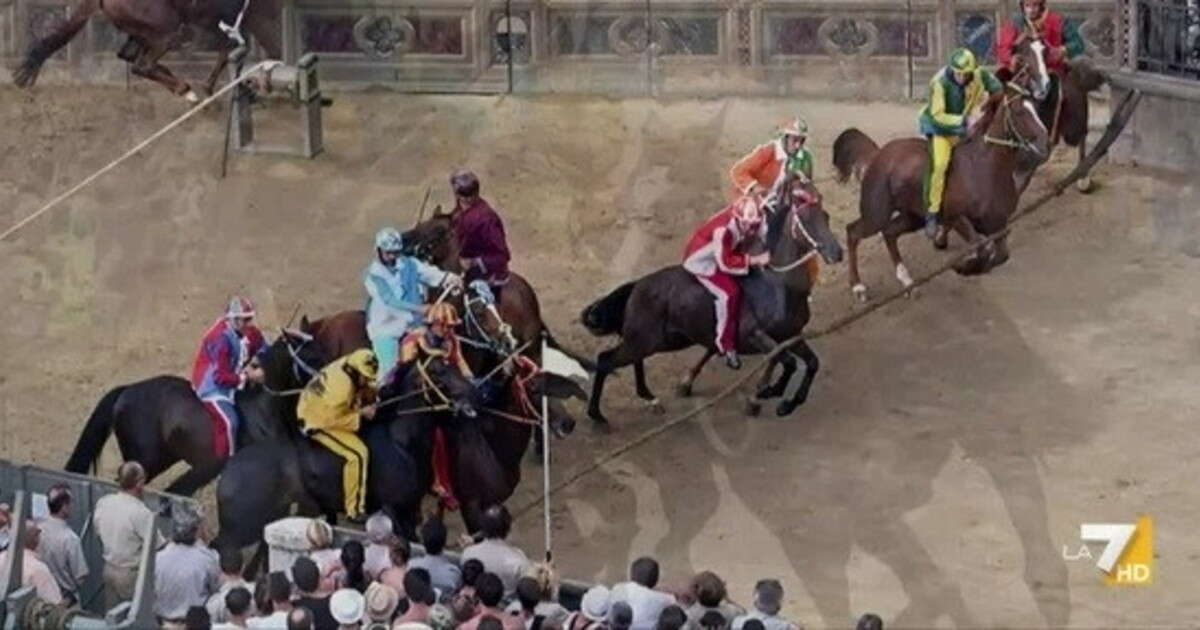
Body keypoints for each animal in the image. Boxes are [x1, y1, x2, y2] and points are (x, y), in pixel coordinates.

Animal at [11, 0, 278, 99]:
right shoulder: (247, 19)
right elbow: (236, 49)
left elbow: (231, 51)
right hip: (167, 31)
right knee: (142, 64)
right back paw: (185, 90)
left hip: (141, 31)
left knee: (131, 58)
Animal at [213, 350, 480, 547]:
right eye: (437, 372)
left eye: (454, 364)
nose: (474, 392)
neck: (401, 443)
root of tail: (228, 472)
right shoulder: (394, 509)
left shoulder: (411, 509)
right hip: (240, 532)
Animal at [580, 174, 844, 424]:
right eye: (807, 219)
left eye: (826, 216)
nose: (836, 253)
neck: (778, 286)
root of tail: (637, 285)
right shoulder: (756, 335)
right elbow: (788, 362)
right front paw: (769, 392)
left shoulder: (791, 335)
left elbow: (812, 363)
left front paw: (786, 403)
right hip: (646, 339)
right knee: (605, 360)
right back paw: (597, 414)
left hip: (664, 340)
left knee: (632, 360)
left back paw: (650, 398)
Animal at [835, 82, 1051, 300]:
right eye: (1019, 111)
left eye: (1036, 108)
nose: (1045, 143)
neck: (982, 170)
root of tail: (878, 154)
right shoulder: (956, 218)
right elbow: (981, 248)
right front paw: (964, 266)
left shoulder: (997, 225)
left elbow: (1001, 255)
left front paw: (970, 267)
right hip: (876, 214)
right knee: (853, 232)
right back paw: (858, 287)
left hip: (913, 217)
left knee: (889, 233)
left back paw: (907, 282)